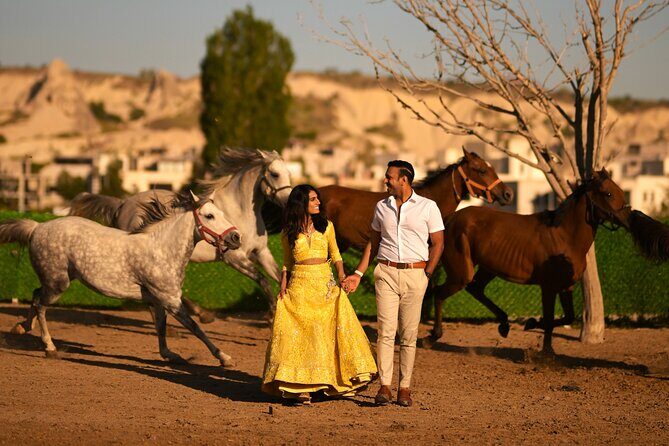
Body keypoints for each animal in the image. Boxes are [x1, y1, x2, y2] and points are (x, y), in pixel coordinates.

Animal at [1, 192, 242, 366]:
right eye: (209, 216)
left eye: (221, 213)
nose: (236, 237)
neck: (162, 249)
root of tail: (37, 227)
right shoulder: (170, 300)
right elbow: (195, 327)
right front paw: (224, 358)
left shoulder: (157, 301)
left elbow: (161, 328)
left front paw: (170, 355)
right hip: (58, 283)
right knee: (41, 305)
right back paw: (49, 348)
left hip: (54, 281)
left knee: (35, 296)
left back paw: (22, 327)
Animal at [70, 147, 292, 315]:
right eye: (275, 174)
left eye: (288, 173)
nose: (289, 200)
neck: (239, 211)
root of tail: (123, 204)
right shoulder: (234, 258)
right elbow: (263, 280)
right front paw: (271, 313)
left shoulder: (261, 253)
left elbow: (280, 277)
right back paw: (199, 314)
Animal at [425, 169, 669, 355]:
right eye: (608, 193)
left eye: (619, 190)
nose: (629, 218)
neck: (564, 235)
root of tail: (449, 219)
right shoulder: (548, 287)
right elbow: (551, 318)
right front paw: (545, 349)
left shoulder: (566, 286)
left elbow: (567, 316)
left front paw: (532, 324)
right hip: (461, 271)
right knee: (440, 293)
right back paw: (432, 336)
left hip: (488, 268)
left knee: (475, 289)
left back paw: (504, 324)